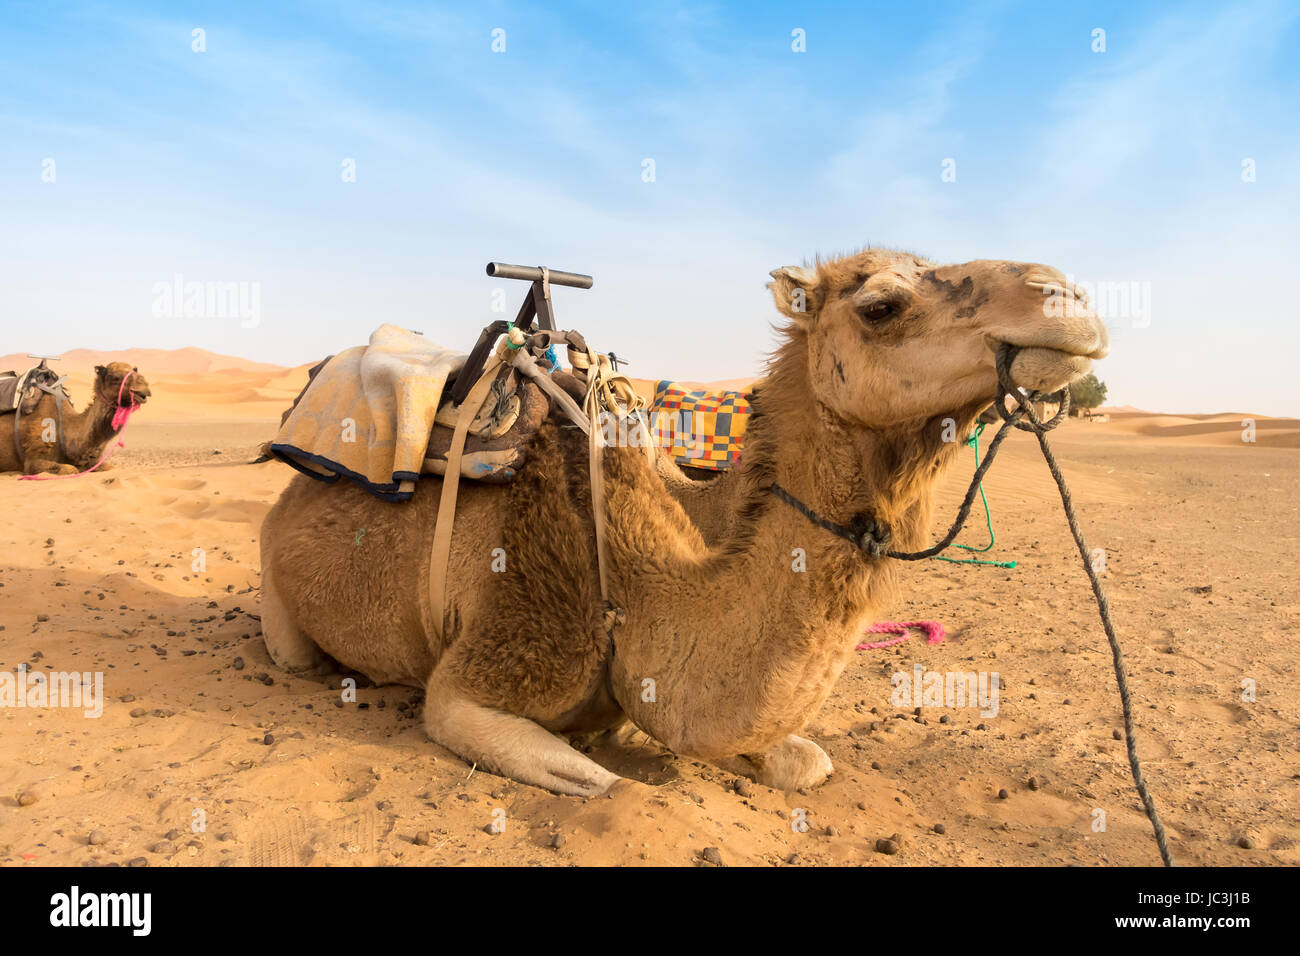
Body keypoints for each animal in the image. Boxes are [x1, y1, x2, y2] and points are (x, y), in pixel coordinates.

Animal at [0, 361, 152, 476]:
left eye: (134, 371)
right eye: (115, 378)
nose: (144, 389)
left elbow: (108, 467)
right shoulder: (33, 460)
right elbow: (71, 469)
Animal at [261, 247, 1107, 790]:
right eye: (880, 306)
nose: (1068, 299)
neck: (637, 585)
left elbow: (807, 762)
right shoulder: (500, 650)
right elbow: (594, 780)